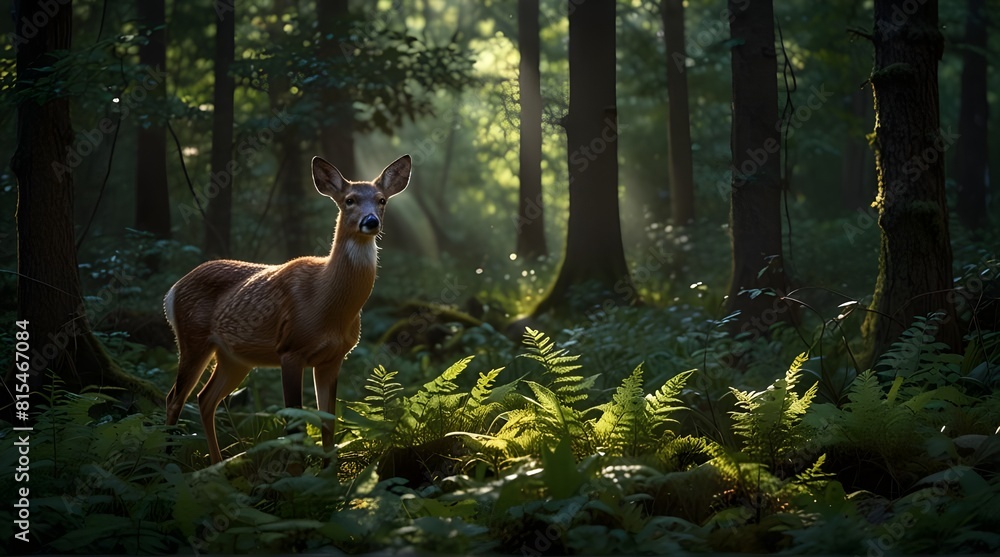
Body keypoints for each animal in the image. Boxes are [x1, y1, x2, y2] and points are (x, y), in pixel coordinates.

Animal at [164, 155, 411, 464]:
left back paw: (217, 465)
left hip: (234, 357)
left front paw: (329, 473)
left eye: (382, 200)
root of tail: (172, 290)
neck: (325, 300)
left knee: (204, 399)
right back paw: (165, 462)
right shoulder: (290, 349)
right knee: (175, 398)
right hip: (192, 340)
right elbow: (295, 427)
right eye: (349, 200)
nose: (371, 221)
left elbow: (328, 423)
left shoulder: (333, 358)